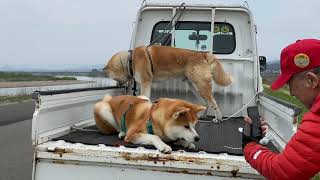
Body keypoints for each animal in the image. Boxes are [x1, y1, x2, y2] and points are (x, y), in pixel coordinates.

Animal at [104, 45, 232, 123]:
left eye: (112, 77)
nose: (118, 85)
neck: (130, 60)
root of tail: (202, 54)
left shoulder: (146, 83)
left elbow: (146, 98)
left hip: (201, 86)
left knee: (213, 102)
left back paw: (218, 118)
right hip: (195, 87)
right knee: (206, 102)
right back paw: (203, 116)